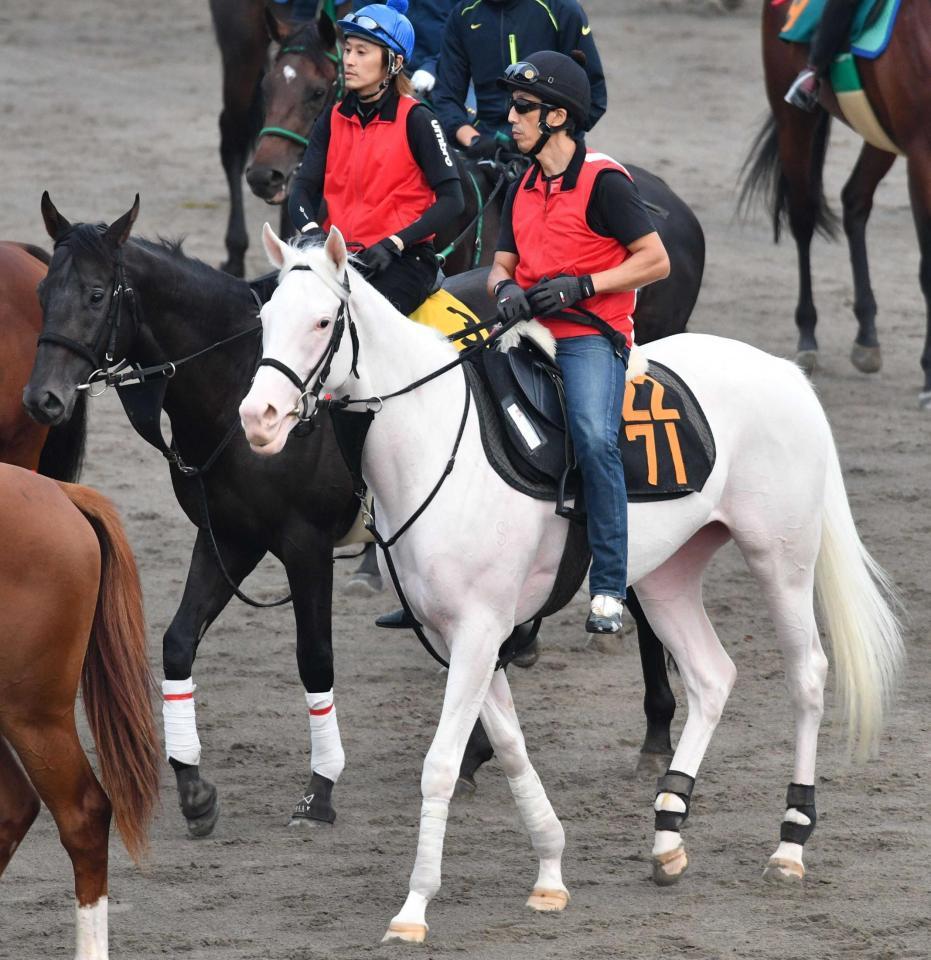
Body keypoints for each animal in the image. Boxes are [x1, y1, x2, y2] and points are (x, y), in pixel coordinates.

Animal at [238, 227, 904, 944]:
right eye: (265, 320)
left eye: (323, 322)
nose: (258, 418)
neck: (437, 442)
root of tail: (784, 374)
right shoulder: (460, 636)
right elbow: (509, 747)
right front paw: (550, 872)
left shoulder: (479, 632)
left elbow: (441, 764)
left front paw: (414, 909)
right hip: (666, 579)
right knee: (711, 676)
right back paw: (667, 833)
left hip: (780, 559)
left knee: (807, 676)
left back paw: (789, 842)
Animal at [744, 0, 931, 404]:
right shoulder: (922, 155)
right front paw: (929, 375)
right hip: (793, 118)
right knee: (803, 218)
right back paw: (808, 337)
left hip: (879, 133)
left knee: (854, 199)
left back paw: (866, 337)